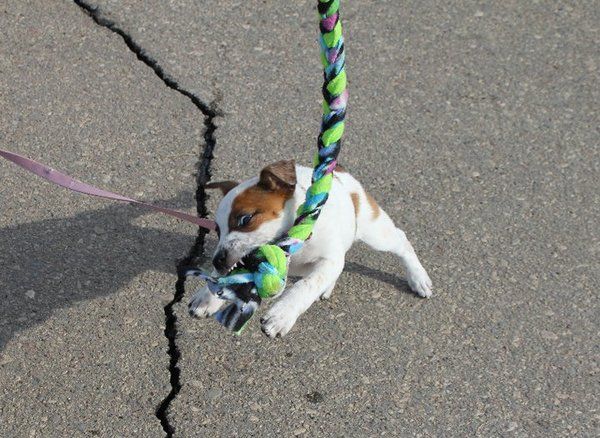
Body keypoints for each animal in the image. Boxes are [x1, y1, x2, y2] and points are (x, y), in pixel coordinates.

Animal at [188, 160, 432, 337]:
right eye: (217, 230)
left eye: (245, 219)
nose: (217, 260)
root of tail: (339, 171)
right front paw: (208, 296)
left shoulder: (330, 260)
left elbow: (306, 286)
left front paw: (282, 315)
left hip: (375, 232)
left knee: (402, 240)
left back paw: (418, 278)